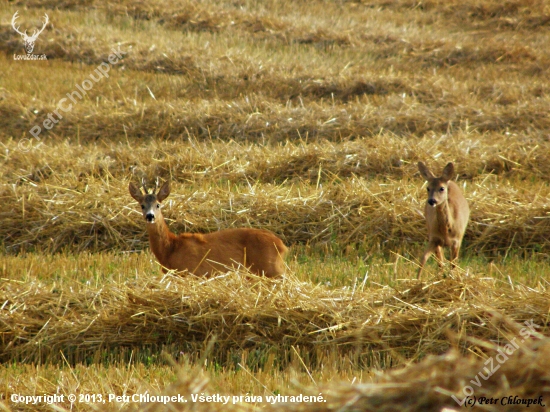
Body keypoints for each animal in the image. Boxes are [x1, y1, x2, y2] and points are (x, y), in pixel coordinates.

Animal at [130, 180, 288, 276]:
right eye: (142, 205)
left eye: (158, 204)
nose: (150, 216)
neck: (170, 248)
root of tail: (282, 245)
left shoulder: (192, 272)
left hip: (271, 268)